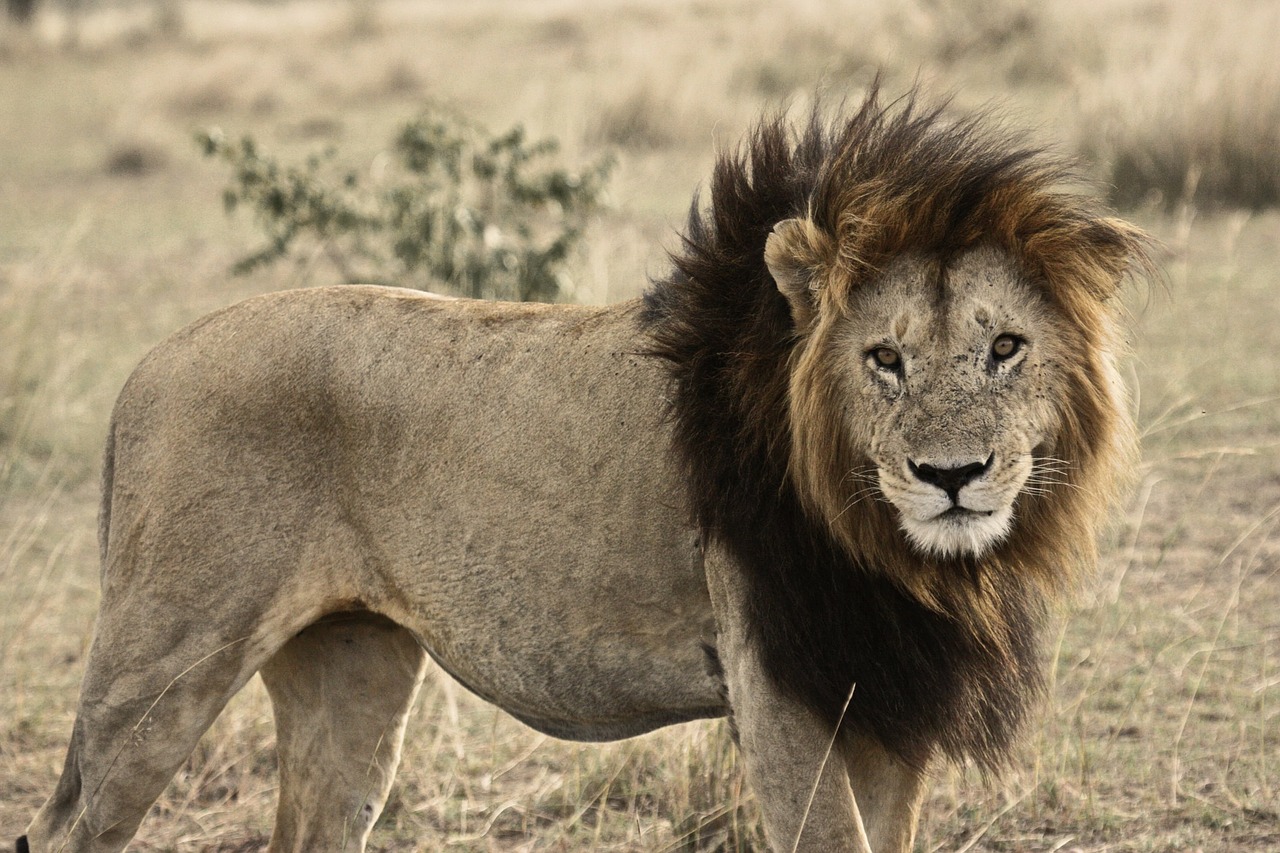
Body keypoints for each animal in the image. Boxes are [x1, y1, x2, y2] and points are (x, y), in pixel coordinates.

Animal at [17, 87, 1152, 850]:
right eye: (884, 359)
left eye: (1004, 347)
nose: (951, 473)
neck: (897, 549)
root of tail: (145, 367)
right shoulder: (783, 691)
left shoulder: (886, 692)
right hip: (163, 659)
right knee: (71, 826)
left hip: (352, 659)